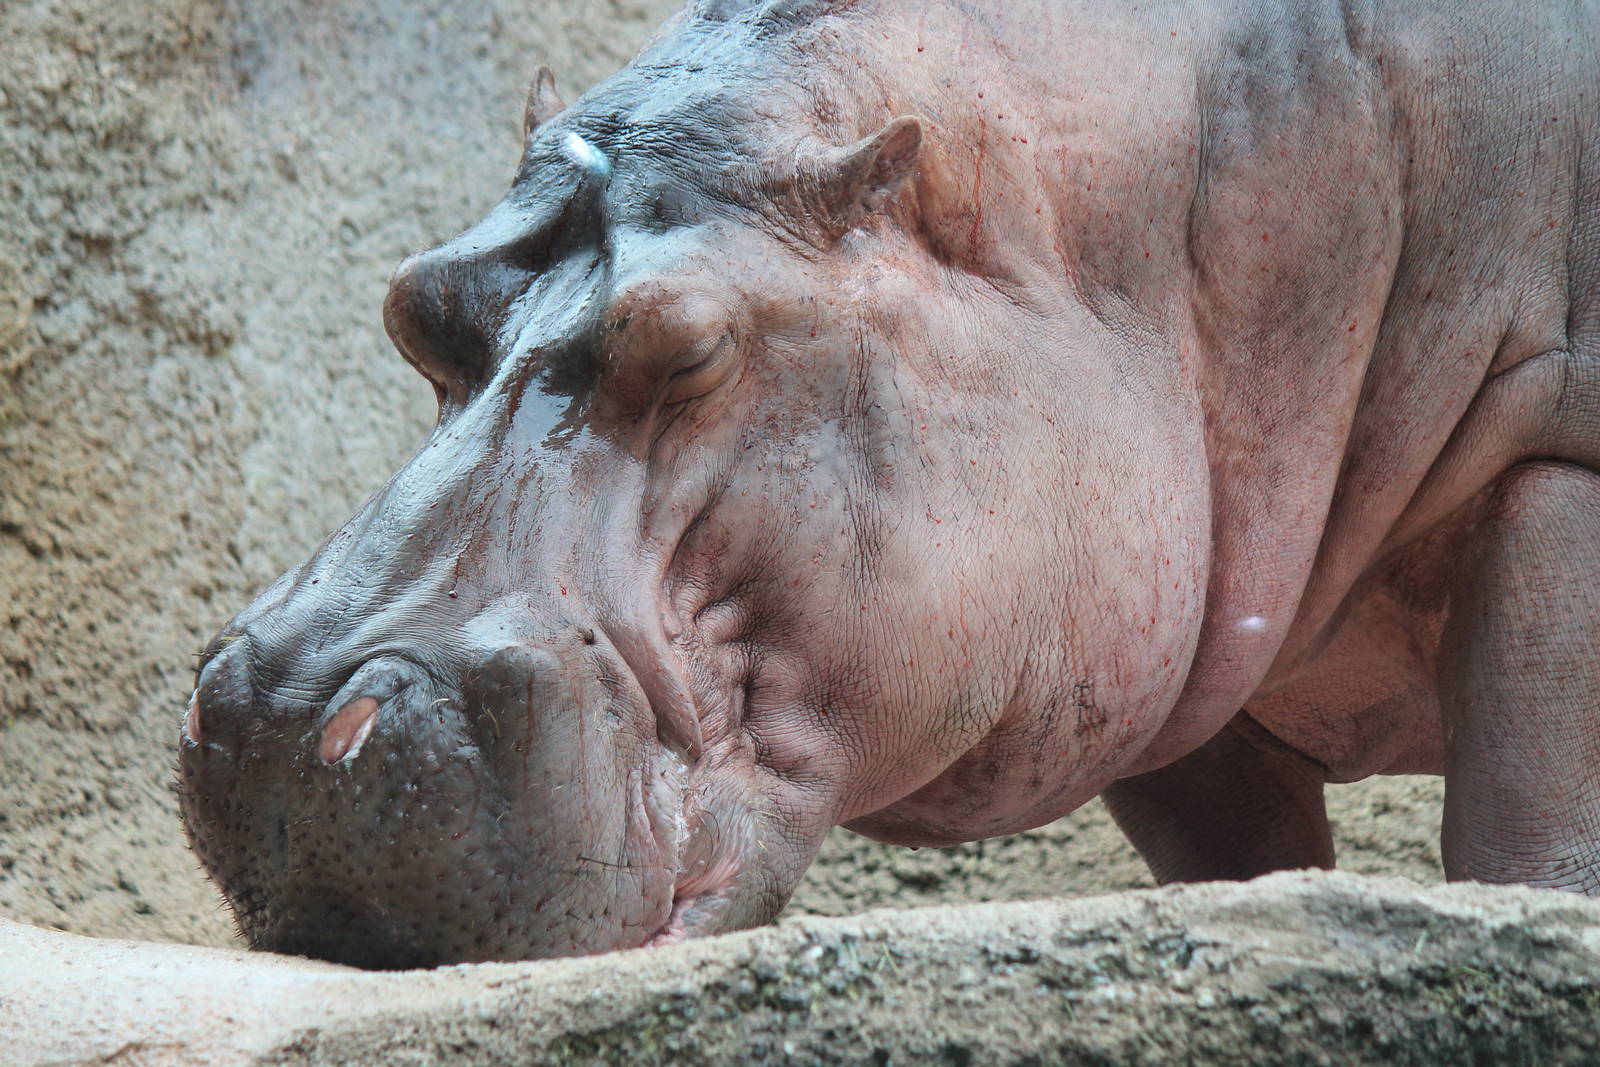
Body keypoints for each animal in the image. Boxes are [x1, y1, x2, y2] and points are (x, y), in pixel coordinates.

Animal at [178, 0, 1600, 968]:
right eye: (415, 302)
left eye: (690, 344)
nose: (285, 715)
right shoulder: (1174, 639)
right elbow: (1242, 869)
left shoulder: (1561, 460)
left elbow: (1529, 828)